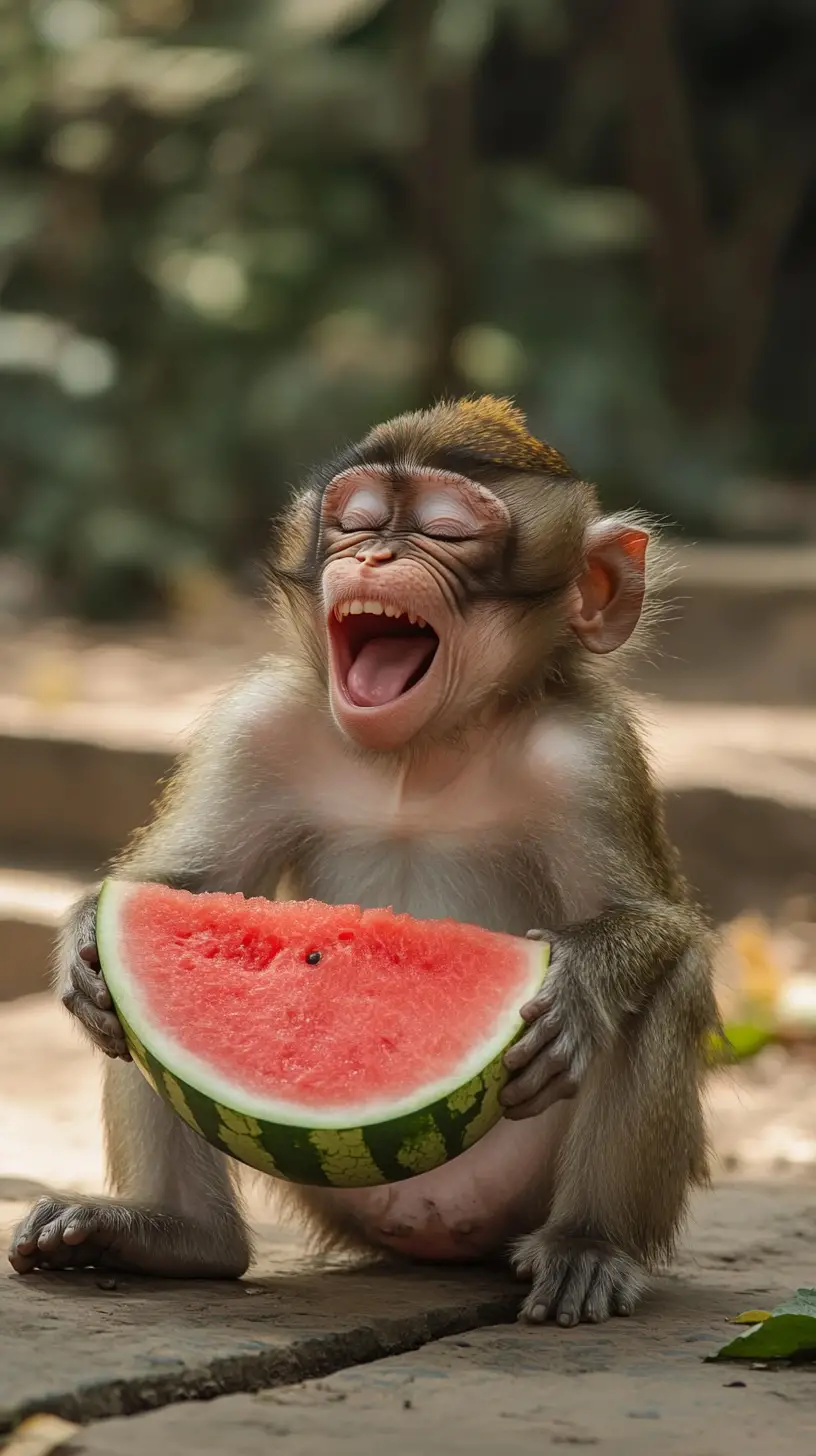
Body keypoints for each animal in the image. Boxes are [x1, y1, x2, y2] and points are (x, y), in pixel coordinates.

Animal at [8, 395, 717, 1326]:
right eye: (357, 521)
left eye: (448, 532)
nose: (375, 554)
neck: (420, 757)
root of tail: (427, 1228)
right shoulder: (259, 723)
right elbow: (174, 883)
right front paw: (81, 941)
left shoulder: (586, 756)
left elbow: (655, 920)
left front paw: (580, 979)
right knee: (133, 1029)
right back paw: (174, 1233)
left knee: (668, 985)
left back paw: (590, 1245)